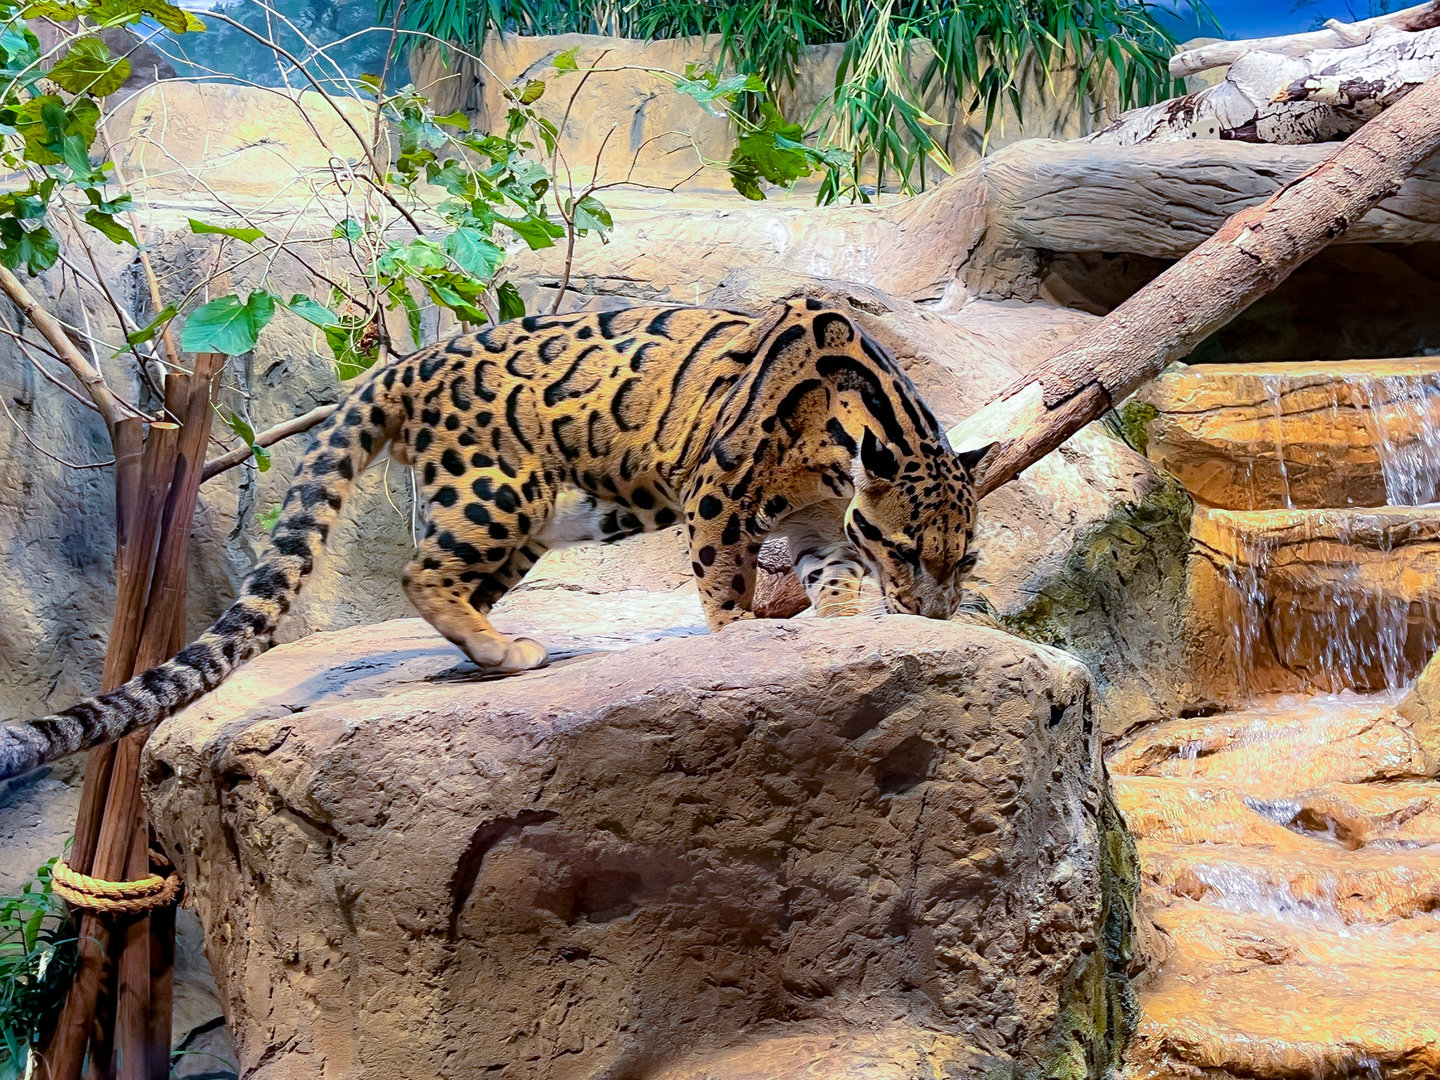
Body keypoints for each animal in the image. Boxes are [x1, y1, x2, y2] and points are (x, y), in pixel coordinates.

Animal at [0, 298, 988, 780]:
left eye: (964, 557)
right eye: (911, 550)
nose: (935, 610)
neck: (838, 449)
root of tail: (407, 364)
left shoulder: (822, 520)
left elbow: (833, 571)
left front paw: (847, 620)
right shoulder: (718, 488)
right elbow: (721, 574)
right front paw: (739, 633)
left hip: (521, 520)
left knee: (447, 584)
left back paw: (487, 649)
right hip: (498, 492)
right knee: (419, 573)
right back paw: (510, 652)